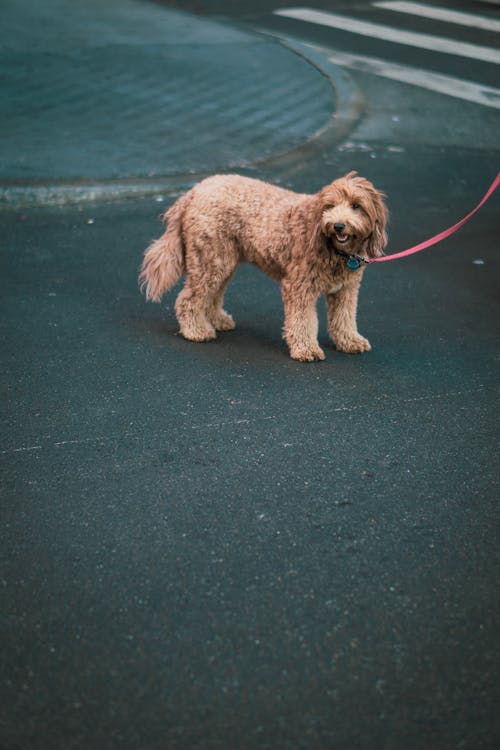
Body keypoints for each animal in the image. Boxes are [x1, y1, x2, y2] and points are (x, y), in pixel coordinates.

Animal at [139, 173, 388, 362]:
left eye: (356, 206)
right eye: (330, 206)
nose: (338, 225)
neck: (334, 248)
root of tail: (194, 191)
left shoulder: (346, 289)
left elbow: (344, 318)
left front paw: (350, 341)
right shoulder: (298, 286)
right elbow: (302, 320)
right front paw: (306, 348)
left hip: (223, 261)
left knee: (212, 295)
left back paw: (216, 320)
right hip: (209, 260)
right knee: (188, 299)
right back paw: (196, 330)